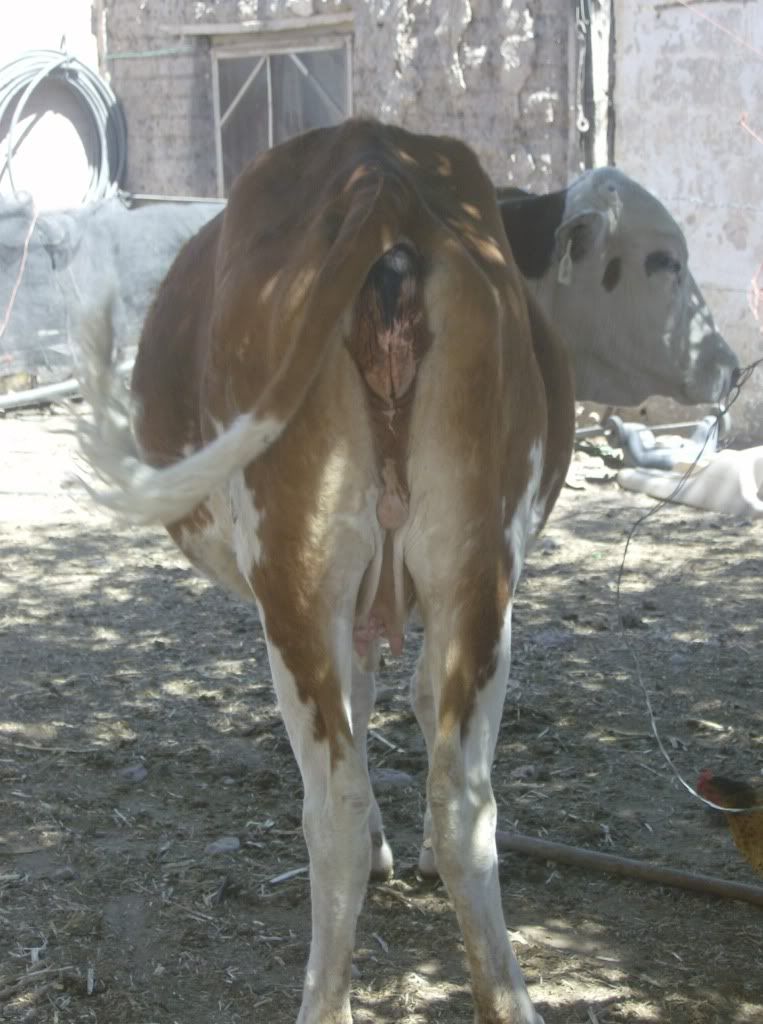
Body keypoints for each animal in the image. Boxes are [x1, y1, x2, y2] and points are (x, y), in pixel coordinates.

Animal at [78, 119, 574, 1024]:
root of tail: (378, 171)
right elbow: (403, 699)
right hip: (472, 570)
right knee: (465, 799)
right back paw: (504, 995)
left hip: (295, 584)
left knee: (331, 809)